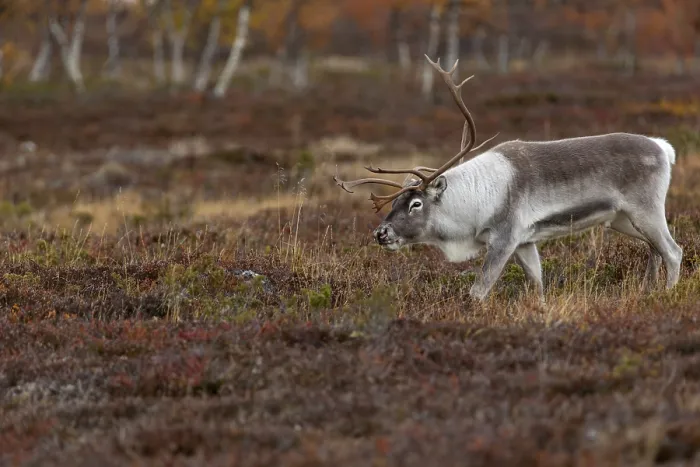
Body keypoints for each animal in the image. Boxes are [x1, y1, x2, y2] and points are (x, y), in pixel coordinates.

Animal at [333, 54, 682, 304]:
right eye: (396, 202)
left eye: (416, 204)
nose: (381, 233)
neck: (474, 202)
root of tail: (663, 147)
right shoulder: (525, 242)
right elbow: (537, 284)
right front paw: (539, 309)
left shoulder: (505, 237)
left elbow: (478, 291)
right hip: (623, 219)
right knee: (654, 249)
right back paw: (648, 289)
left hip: (646, 210)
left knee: (673, 250)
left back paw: (666, 296)